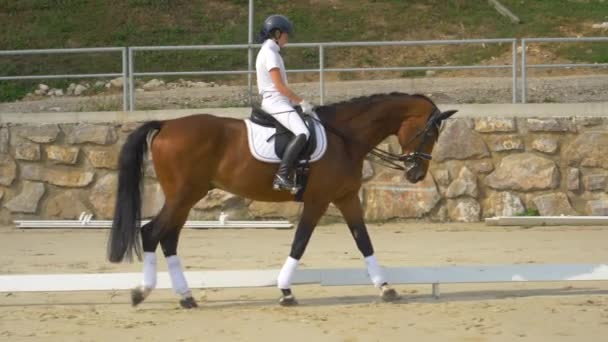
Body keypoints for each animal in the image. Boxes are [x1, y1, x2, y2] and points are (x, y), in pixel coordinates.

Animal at [107, 91, 456, 308]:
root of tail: (166, 124)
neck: (346, 139)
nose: (416, 174)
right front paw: (286, 291)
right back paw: (142, 292)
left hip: (187, 196)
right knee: (152, 232)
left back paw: (185, 296)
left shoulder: (345, 197)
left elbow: (363, 241)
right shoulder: (318, 200)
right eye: (429, 133)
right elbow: (300, 242)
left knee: (168, 238)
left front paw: (386, 287)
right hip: (183, 195)